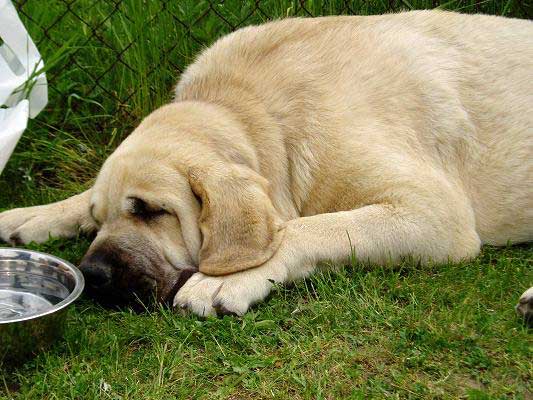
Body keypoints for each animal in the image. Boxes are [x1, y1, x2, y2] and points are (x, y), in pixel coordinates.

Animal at [1, 10, 532, 320]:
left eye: (152, 211)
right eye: (101, 216)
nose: (93, 275)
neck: (254, 111)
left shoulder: (435, 212)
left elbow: (311, 227)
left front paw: (227, 278)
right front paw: (33, 216)